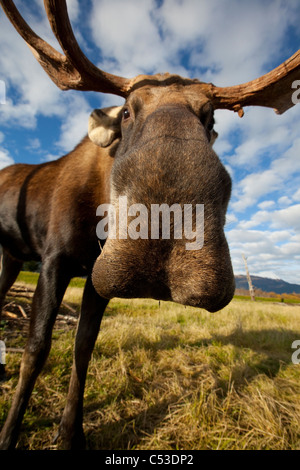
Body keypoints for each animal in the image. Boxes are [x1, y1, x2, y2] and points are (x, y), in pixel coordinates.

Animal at [0, 0, 300, 450]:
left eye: (211, 119)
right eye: (126, 110)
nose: (166, 221)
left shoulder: (93, 279)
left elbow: (83, 347)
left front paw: (70, 432)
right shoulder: (54, 260)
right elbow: (37, 349)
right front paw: (9, 434)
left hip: (12, 257)